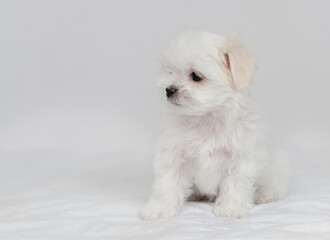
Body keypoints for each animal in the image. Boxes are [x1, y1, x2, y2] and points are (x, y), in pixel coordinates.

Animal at [141, 29, 288, 219]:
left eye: (196, 76)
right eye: (171, 72)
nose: (169, 90)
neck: (206, 117)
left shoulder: (241, 157)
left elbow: (235, 184)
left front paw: (230, 209)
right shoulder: (173, 154)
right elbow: (167, 183)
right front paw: (159, 208)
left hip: (278, 164)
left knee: (276, 184)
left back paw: (265, 194)